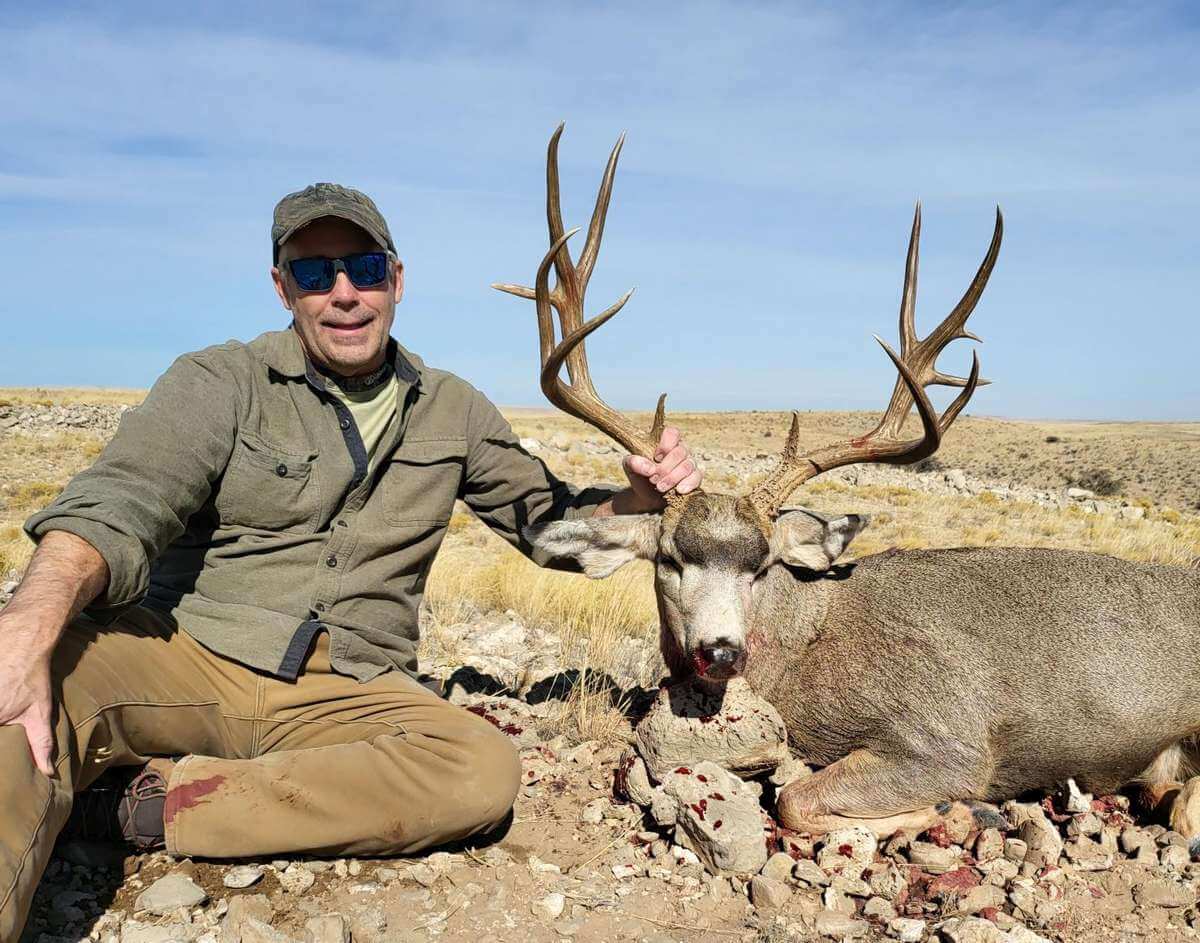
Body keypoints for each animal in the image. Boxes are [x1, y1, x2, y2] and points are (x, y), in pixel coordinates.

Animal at [494, 125, 1200, 844]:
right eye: (669, 559)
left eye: (763, 565)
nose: (721, 650)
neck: (808, 645)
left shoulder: (948, 739)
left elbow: (794, 799)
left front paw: (954, 809)